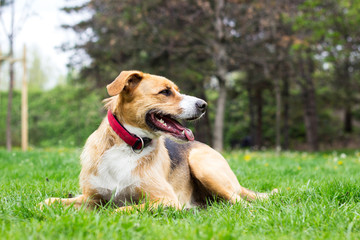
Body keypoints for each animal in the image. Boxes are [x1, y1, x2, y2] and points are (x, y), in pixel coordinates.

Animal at [43, 70, 278, 211]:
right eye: (165, 92)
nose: (204, 104)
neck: (130, 144)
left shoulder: (165, 199)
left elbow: (122, 209)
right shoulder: (92, 198)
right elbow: (51, 202)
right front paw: (49, 203)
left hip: (202, 164)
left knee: (239, 202)